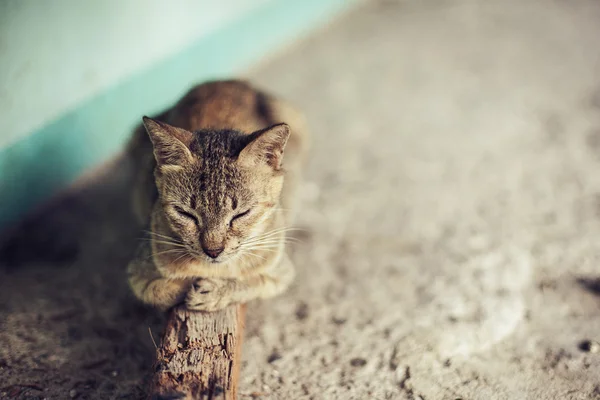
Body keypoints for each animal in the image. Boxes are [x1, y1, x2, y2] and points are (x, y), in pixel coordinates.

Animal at [125, 80, 310, 312]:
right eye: (185, 214)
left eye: (242, 214)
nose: (213, 251)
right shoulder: (138, 272)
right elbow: (160, 289)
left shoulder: (280, 271)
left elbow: (251, 282)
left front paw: (217, 291)